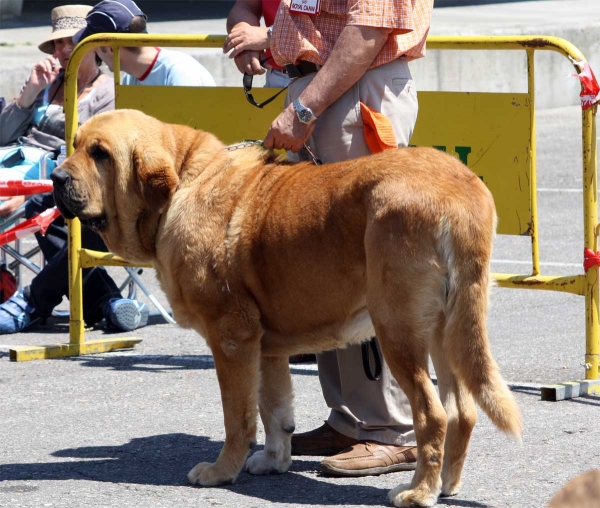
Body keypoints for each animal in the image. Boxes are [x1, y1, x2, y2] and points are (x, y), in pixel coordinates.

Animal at [51, 109, 520, 506]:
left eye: (100, 154)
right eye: (75, 144)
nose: (55, 177)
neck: (182, 184)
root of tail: (460, 189)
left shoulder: (232, 339)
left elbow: (238, 416)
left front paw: (221, 471)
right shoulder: (266, 347)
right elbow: (274, 409)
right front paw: (273, 461)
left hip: (397, 331)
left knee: (432, 413)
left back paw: (418, 491)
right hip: (446, 331)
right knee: (462, 411)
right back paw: (445, 484)